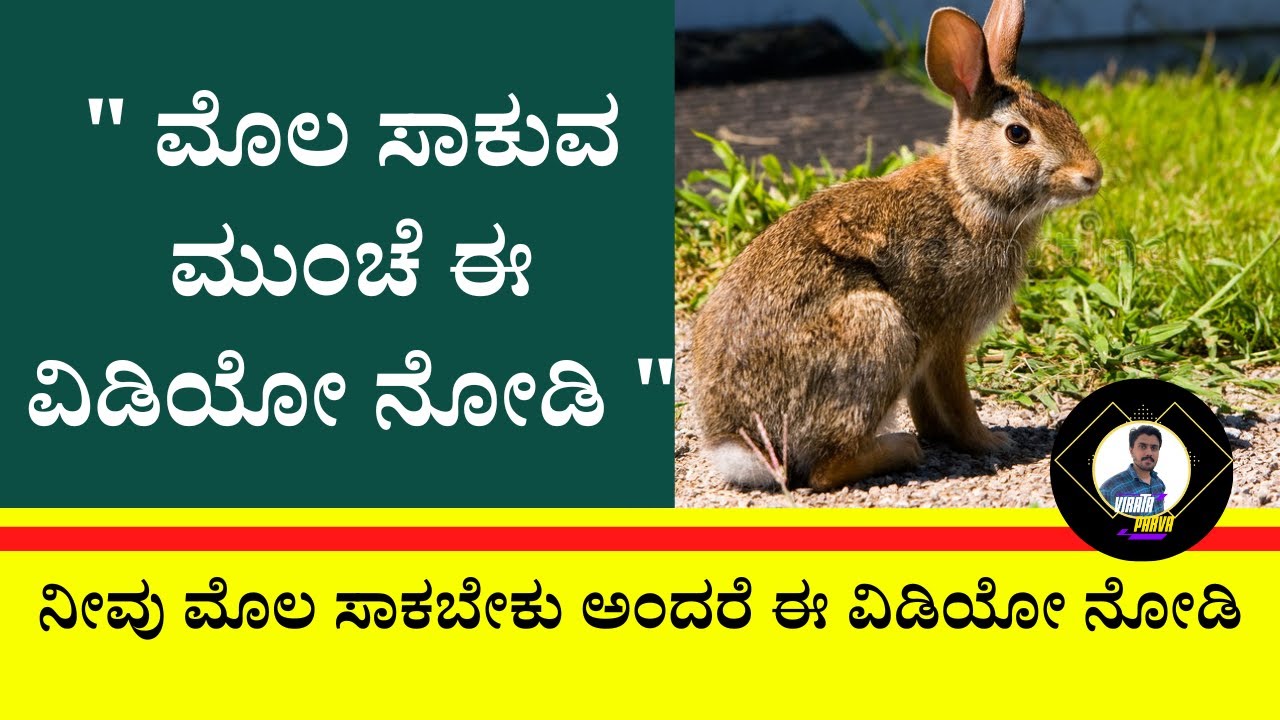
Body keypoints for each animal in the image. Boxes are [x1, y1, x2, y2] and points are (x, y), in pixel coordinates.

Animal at [691, 0, 1101, 491]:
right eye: (1018, 134)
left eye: (1064, 112)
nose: (1092, 175)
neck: (969, 192)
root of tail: (737, 447)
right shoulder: (947, 336)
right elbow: (958, 400)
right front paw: (990, 443)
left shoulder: (928, 354)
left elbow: (929, 406)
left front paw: (945, 436)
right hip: (879, 332)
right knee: (825, 469)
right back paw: (901, 449)